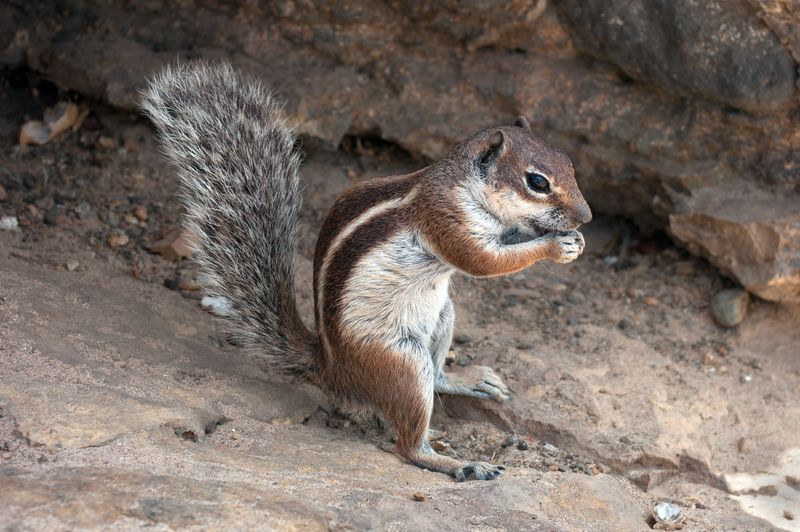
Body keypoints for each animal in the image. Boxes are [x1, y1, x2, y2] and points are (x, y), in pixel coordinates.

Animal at [142, 61, 592, 482]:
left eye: (570, 163)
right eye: (537, 182)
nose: (586, 217)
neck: (464, 184)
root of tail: (331, 369)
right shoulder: (444, 219)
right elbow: (482, 262)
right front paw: (557, 245)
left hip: (443, 316)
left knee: (437, 376)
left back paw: (468, 379)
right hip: (400, 362)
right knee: (407, 443)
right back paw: (459, 464)